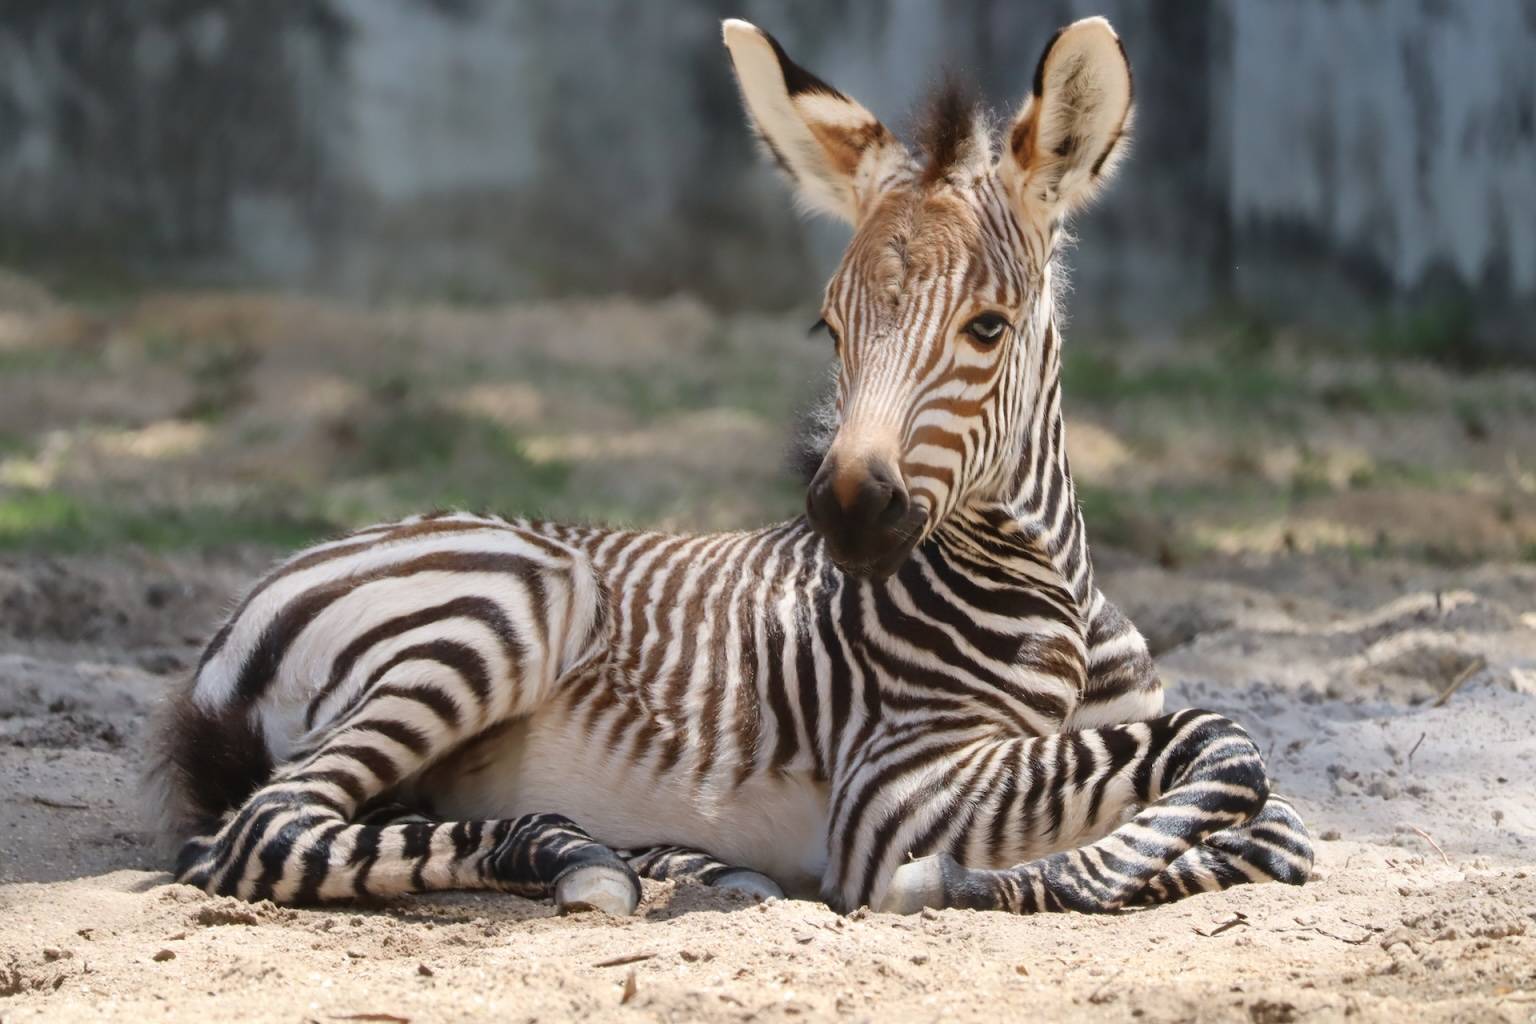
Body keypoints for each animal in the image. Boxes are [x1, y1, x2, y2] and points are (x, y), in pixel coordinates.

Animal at [152, 16, 1308, 914]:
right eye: (829, 327)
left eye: (987, 328)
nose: (846, 510)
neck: (1054, 591)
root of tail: (260, 595)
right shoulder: (897, 789)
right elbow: (1228, 741)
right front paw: (983, 881)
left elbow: (1276, 813)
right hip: (509, 602)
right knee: (260, 829)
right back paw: (579, 857)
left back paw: (674, 860)